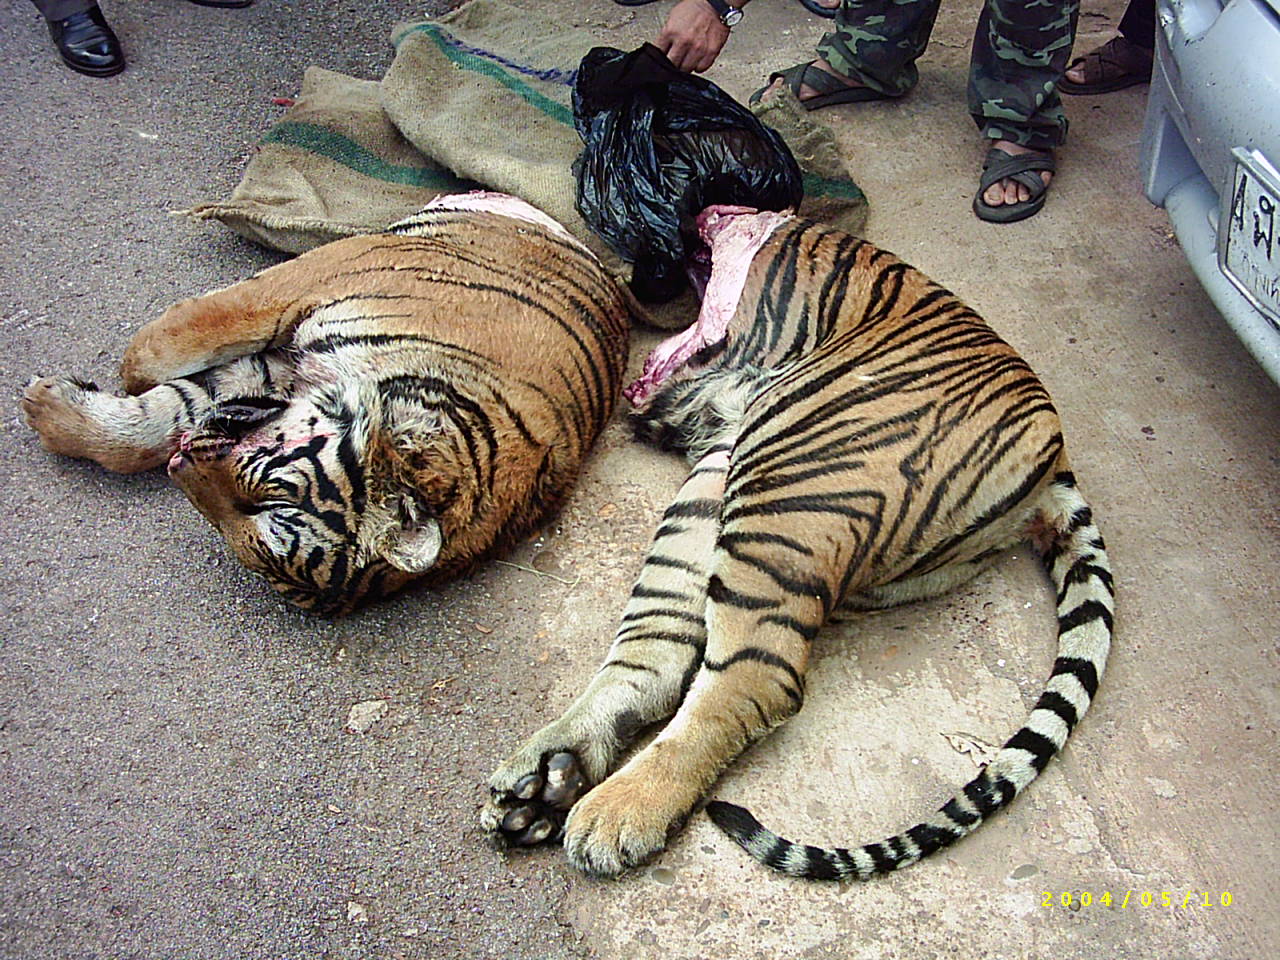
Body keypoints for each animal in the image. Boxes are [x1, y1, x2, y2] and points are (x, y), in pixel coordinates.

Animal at [21, 193, 632, 615]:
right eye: (267, 496)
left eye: (253, 515)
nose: (180, 467)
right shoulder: (306, 285)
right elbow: (160, 359)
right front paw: (56, 402)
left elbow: (171, 399)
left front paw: (44, 403)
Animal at [481, 205, 1115, 880]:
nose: (704, 214)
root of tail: (1056, 457)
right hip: (731, 481)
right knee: (663, 648)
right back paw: (548, 780)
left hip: (785, 471)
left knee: (757, 679)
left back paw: (617, 810)